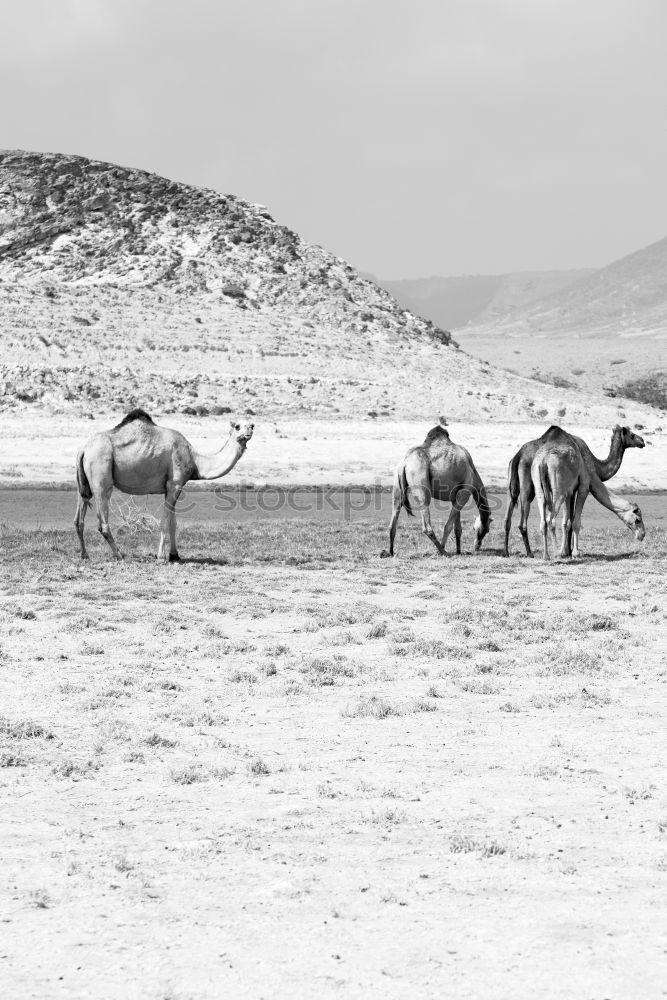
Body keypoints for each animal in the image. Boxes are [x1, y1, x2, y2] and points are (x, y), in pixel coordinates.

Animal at [74, 408, 254, 564]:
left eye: (251, 425)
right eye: (237, 426)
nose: (249, 432)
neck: (196, 461)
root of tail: (84, 448)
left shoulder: (171, 488)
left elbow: (173, 522)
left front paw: (175, 555)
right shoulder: (175, 483)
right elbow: (165, 521)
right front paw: (161, 556)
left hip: (84, 483)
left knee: (79, 518)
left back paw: (85, 555)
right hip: (101, 474)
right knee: (102, 522)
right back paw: (120, 555)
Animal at [386, 422, 490, 560]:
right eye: (486, 529)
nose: (477, 546)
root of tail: (405, 463)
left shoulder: (455, 496)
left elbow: (458, 527)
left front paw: (459, 551)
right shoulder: (465, 491)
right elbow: (449, 525)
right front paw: (447, 549)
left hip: (397, 486)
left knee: (393, 520)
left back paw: (390, 552)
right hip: (421, 485)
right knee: (426, 526)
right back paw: (442, 551)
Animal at [506, 426, 648, 560]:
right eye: (638, 520)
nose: (642, 535)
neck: (594, 467)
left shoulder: (570, 491)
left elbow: (567, 522)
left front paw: (567, 551)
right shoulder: (583, 487)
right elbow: (575, 522)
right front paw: (573, 552)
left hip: (536, 488)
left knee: (531, 519)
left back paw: (535, 554)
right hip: (549, 491)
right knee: (548, 519)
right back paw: (552, 553)